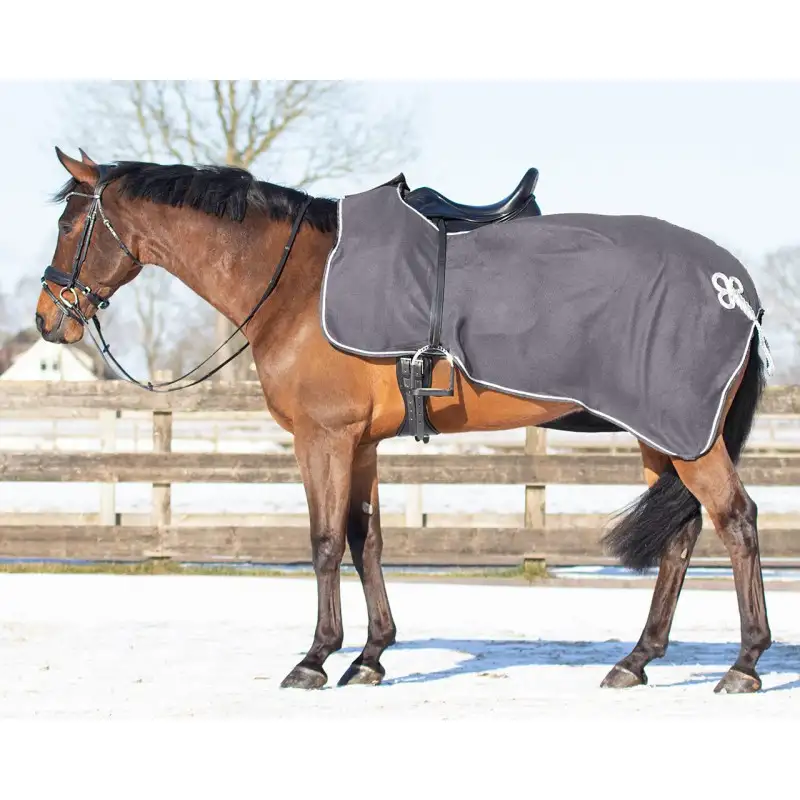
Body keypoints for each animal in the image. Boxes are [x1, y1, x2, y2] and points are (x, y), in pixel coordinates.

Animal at [35, 147, 772, 694]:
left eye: (71, 226)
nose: (48, 319)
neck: (298, 283)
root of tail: (736, 288)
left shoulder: (323, 438)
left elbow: (325, 541)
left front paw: (315, 659)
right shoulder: (359, 444)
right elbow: (367, 541)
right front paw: (370, 657)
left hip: (690, 437)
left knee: (736, 520)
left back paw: (744, 664)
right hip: (659, 436)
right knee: (680, 536)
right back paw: (636, 660)